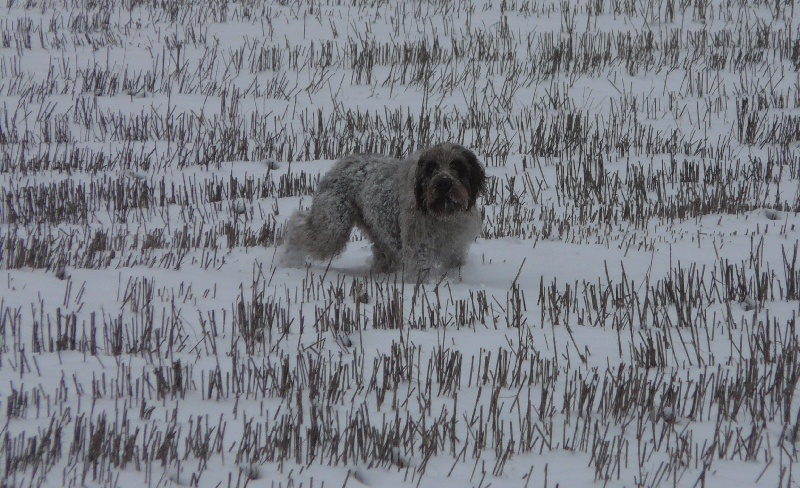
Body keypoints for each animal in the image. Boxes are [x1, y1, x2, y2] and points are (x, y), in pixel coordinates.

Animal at [282, 142, 488, 278]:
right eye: (431, 167)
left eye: (457, 165)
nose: (444, 183)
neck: (443, 215)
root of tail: (345, 161)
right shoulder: (418, 248)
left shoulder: (455, 248)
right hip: (333, 226)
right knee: (297, 225)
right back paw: (290, 260)